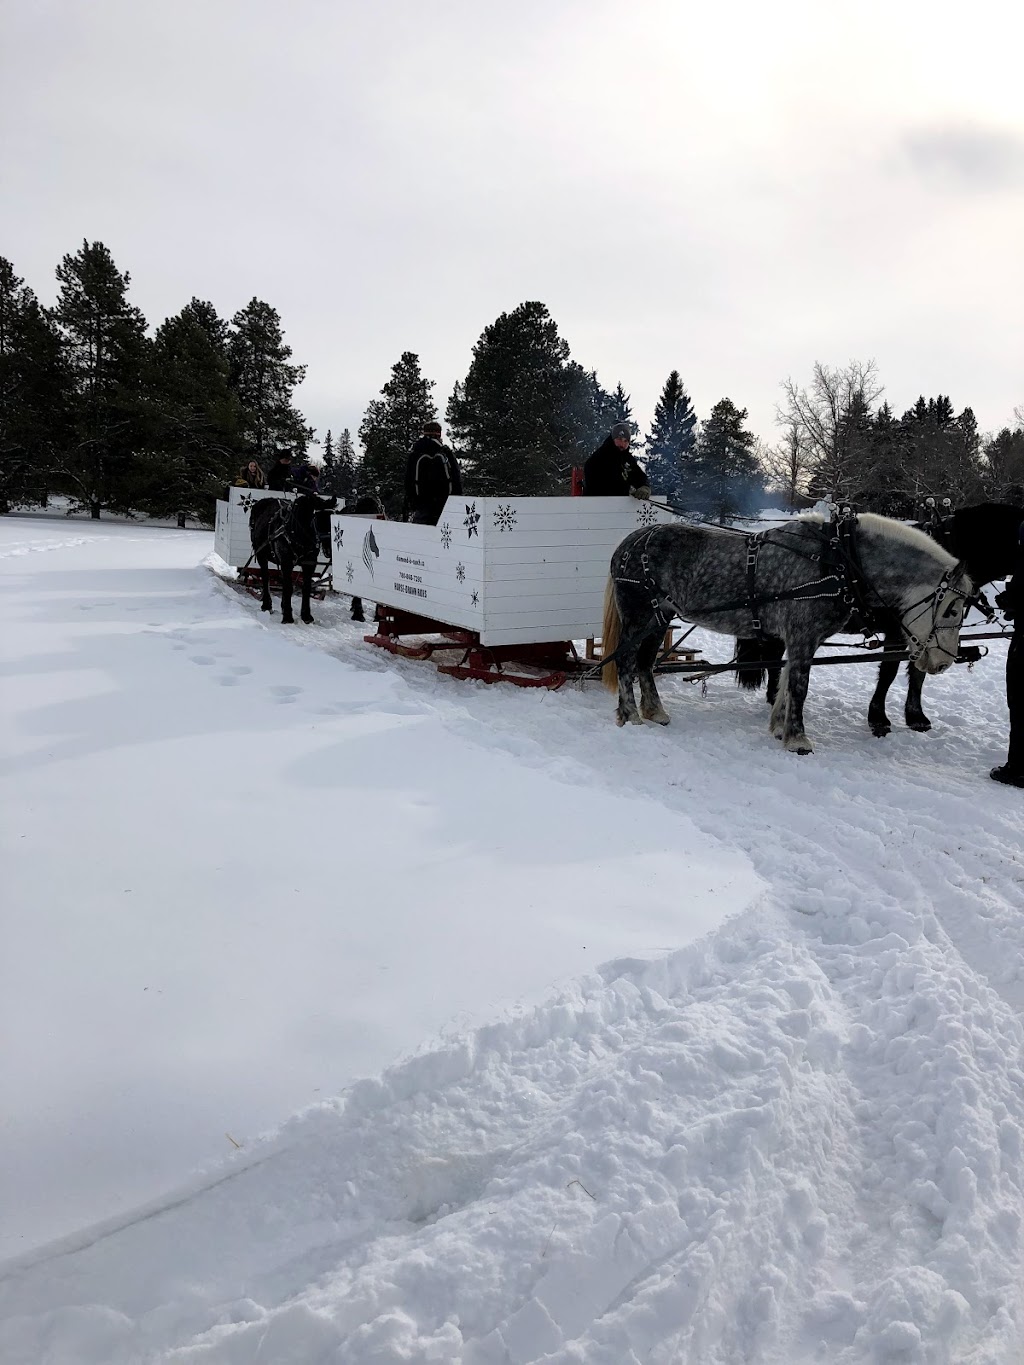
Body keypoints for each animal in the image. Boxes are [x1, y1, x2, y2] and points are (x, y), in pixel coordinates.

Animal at [249, 494, 337, 625]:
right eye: (319, 519)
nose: (330, 550)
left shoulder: (309, 564)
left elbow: (305, 587)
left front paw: (306, 616)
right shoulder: (286, 563)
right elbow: (289, 587)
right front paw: (287, 617)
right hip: (261, 555)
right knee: (266, 578)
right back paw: (267, 605)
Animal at [737, 502, 1021, 737]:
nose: (1004, 600)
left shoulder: (924, 632)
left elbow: (917, 673)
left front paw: (915, 716)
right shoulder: (900, 630)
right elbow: (889, 671)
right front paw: (878, 718)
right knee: (774, 659)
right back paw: (775, 698)